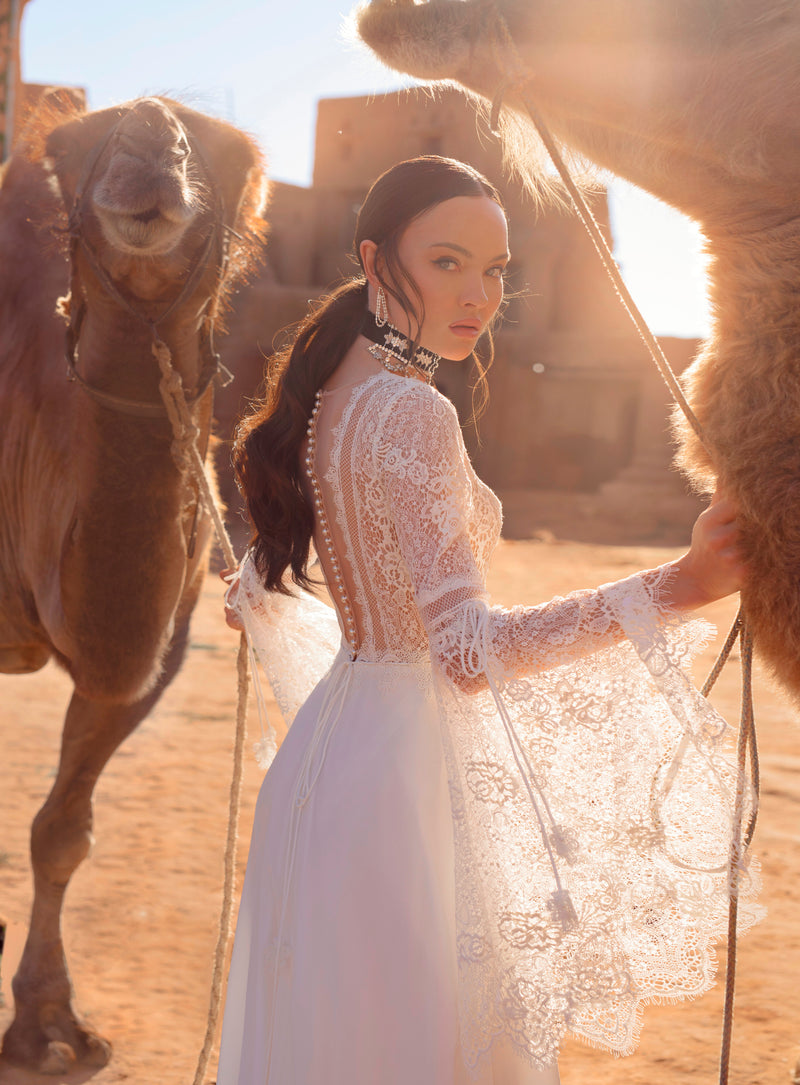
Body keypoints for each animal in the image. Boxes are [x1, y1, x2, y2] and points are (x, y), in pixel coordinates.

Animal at [0, 91, 268, 1067]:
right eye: (75, 147)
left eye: (232, 154)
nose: (153, 135)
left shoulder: (162, 647)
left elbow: (62, 833)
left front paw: (48, 1023)